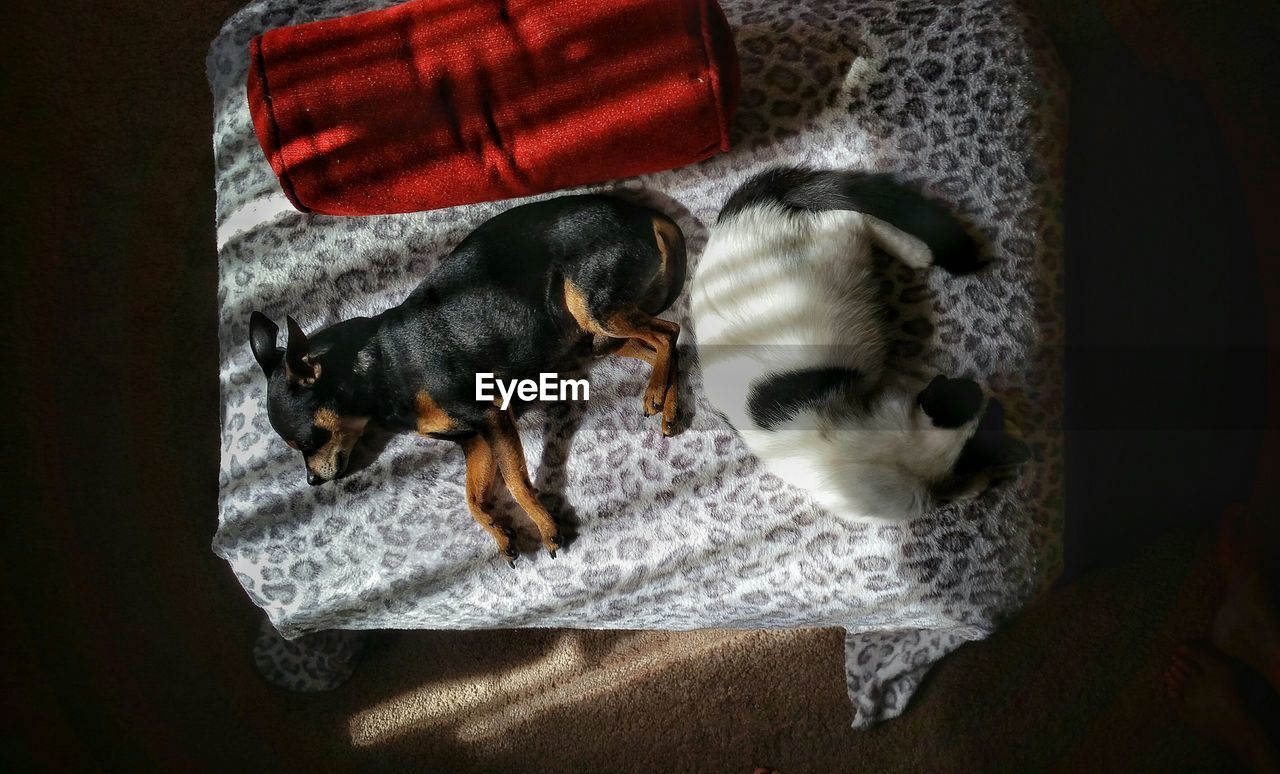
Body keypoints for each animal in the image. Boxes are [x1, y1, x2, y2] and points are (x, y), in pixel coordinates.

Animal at [252, 194, 691, 560]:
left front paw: (547, 528)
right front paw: (501, 533)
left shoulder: (492, 416)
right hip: (593, 336)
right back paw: (667, 404)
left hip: (593, 308)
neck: (378, 367)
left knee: (667, 332)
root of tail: (642, 213)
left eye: (309, 441)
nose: (311, 481)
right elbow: (473, 498)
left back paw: (656, 392)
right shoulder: (473, 440)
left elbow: (515, 480)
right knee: (666, 344)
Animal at [691, 168, 1029, 519]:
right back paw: (918, 254)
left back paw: (916, 254)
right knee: (848, 218)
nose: (987, 389)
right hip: (838, 251)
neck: (899, 457)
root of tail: (739, 214)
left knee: (851, 217)